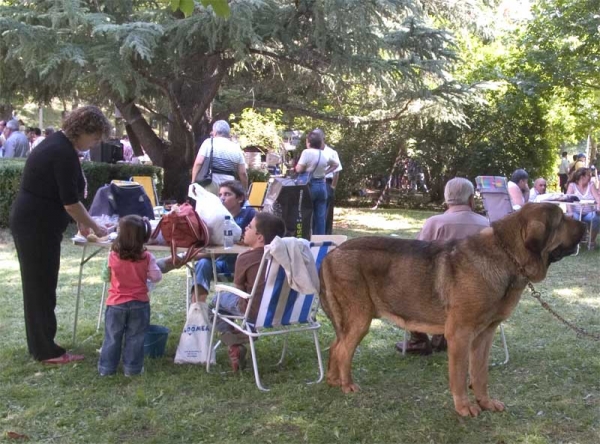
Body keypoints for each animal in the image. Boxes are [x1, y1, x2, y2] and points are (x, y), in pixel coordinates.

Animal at [322, 203, 584, 418]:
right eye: (562, 220)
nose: (584, 225)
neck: (507, 255)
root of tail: (331, 253)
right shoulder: (460, 334)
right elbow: (459, 375)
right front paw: (464, 407)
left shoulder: (485, 335)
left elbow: (479, 374)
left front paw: (485, 402)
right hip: (359, 318)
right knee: (343, 350)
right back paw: (347, 385)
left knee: (335, 346)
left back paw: (333, 381)